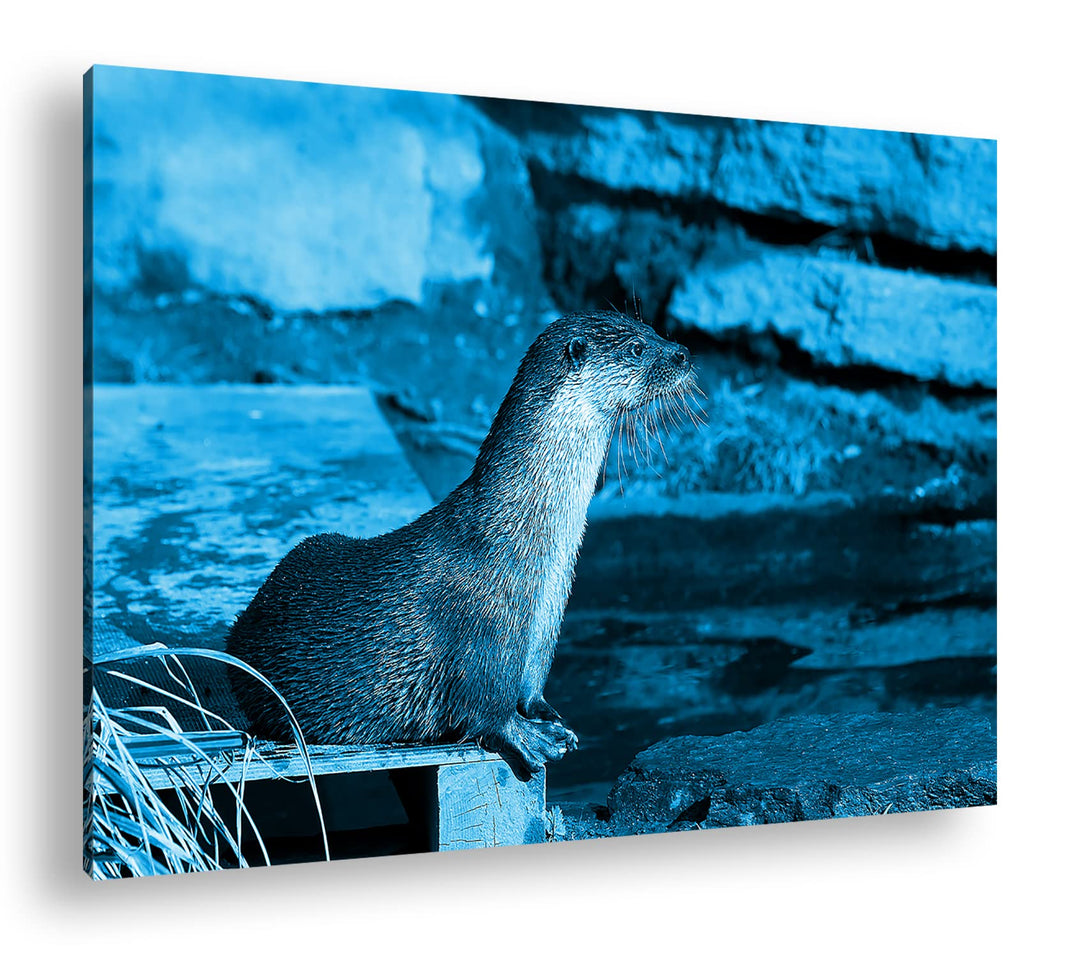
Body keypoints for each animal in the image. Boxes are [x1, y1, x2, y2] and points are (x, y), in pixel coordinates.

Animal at [226, 311, 695, 781]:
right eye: (637, 347)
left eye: (651, 329)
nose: (682, 353)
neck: (517, 538)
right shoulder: (480, 632)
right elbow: (485, 708)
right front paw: (531, 738)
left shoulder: (546, 621)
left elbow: (530, 686)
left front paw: (550, 718)